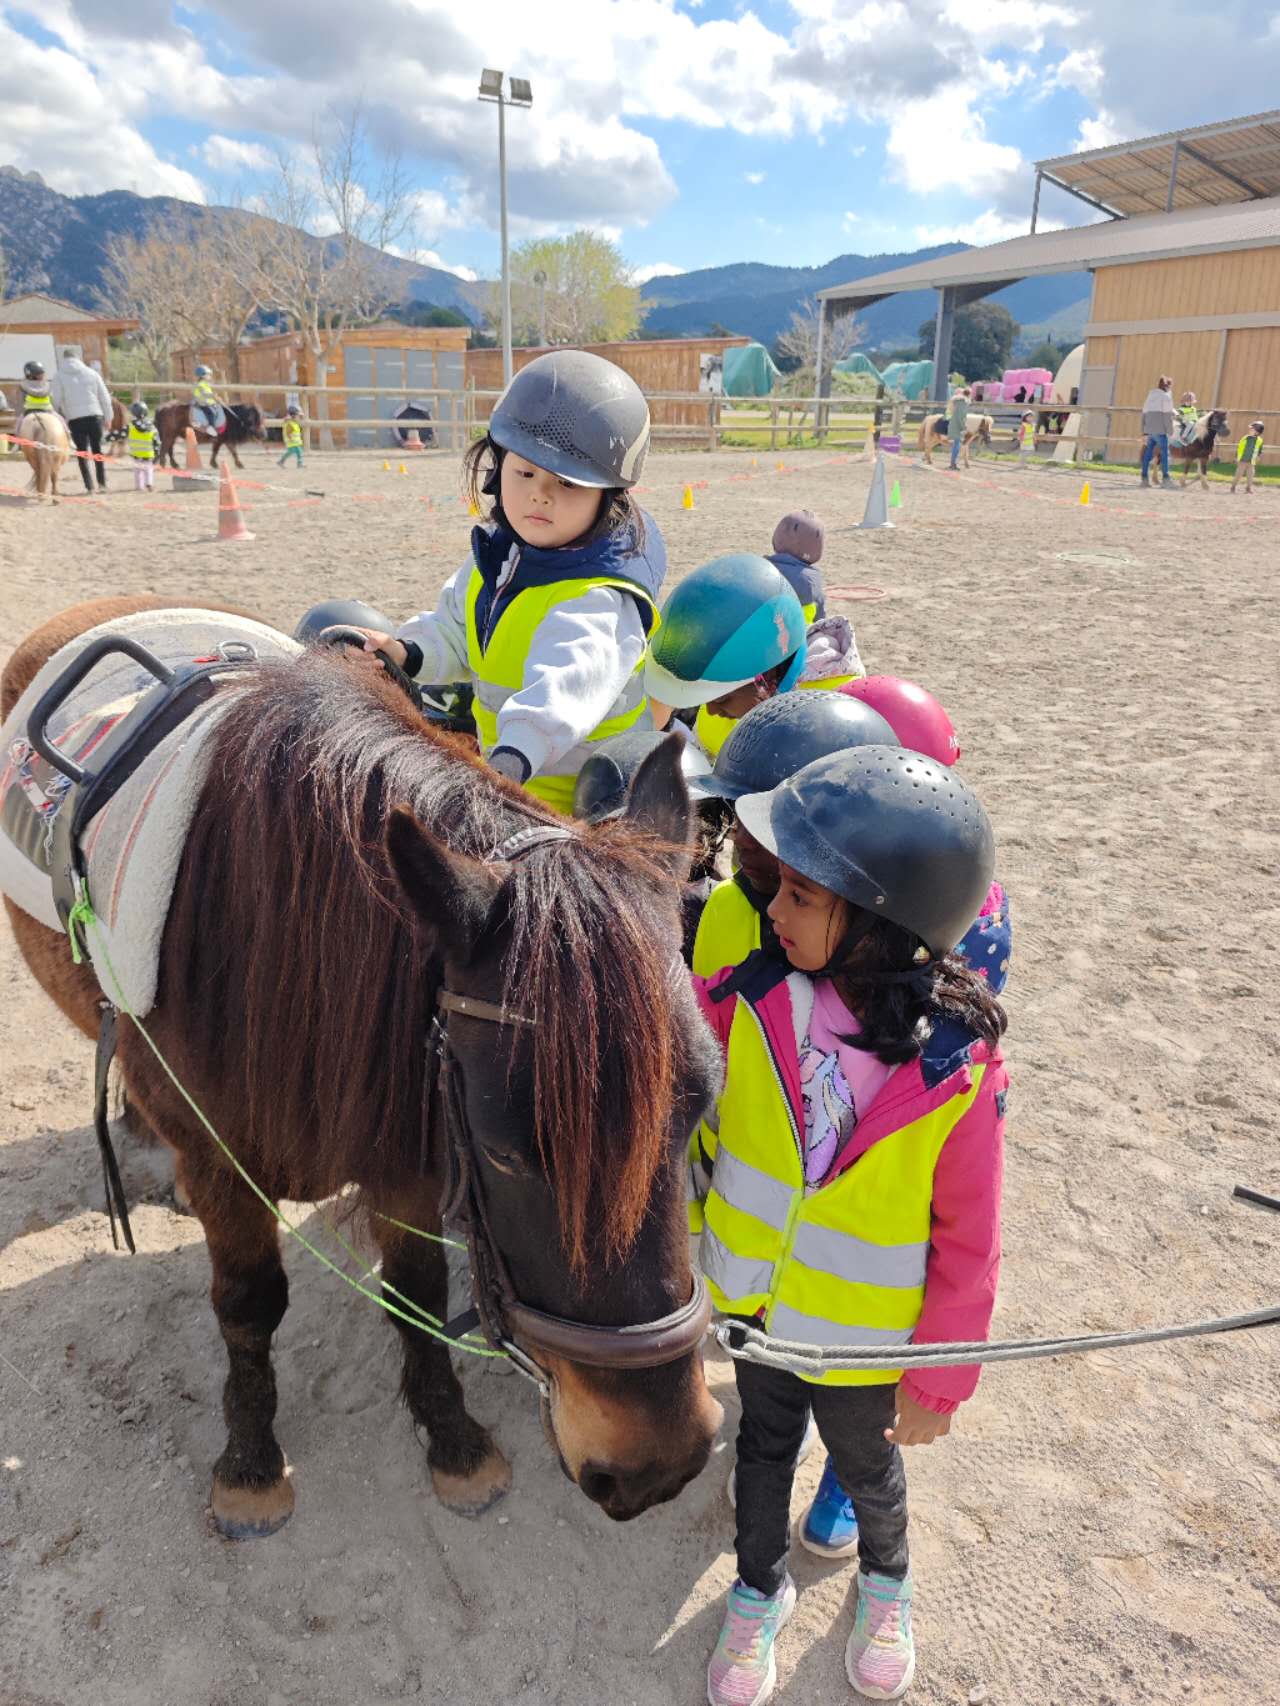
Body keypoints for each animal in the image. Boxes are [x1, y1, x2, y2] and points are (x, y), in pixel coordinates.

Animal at [1, 597, 723, 1538]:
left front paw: (454, 1444)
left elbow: (416, 1291)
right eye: (504, 1151)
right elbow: (249, 1303)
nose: (657, 1465)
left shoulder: (407, 1153)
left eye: (700, 1112)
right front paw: (250, 1467)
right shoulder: (225, 1165)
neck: (268, 951)